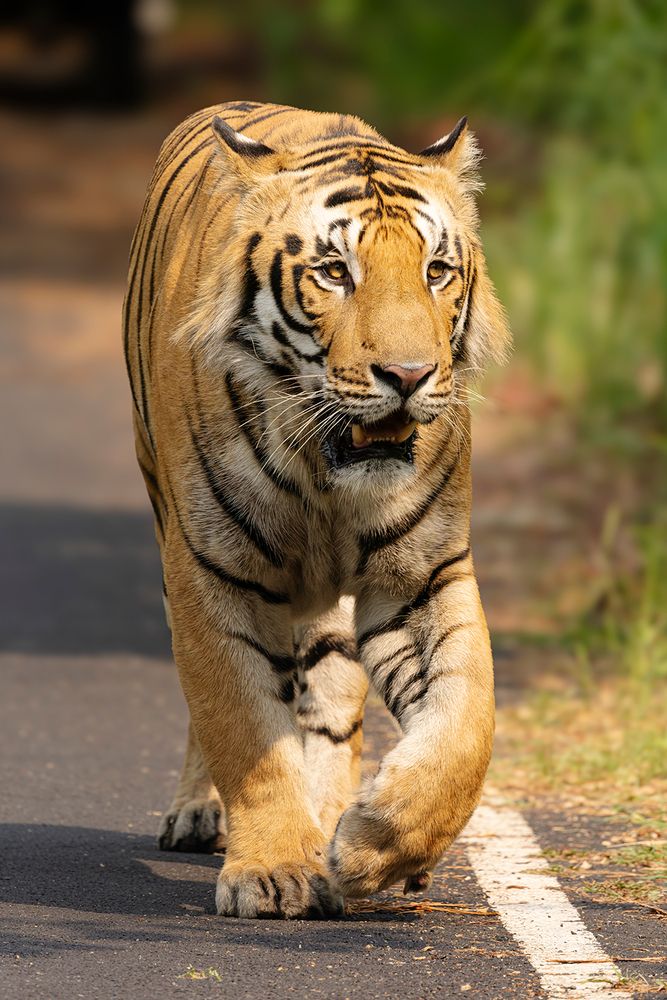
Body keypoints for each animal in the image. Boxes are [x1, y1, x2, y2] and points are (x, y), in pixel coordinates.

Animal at [123, 100, 511, 919]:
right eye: (335, 272)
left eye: (436, 271)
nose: (408, 375)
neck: (325, 478)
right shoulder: (214, 573)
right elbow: (243, 727)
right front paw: (274, 873)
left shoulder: (421, 576)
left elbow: (467, 726)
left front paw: (372, 846)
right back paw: (202, 815)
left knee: (333, 704)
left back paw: (336, 820)